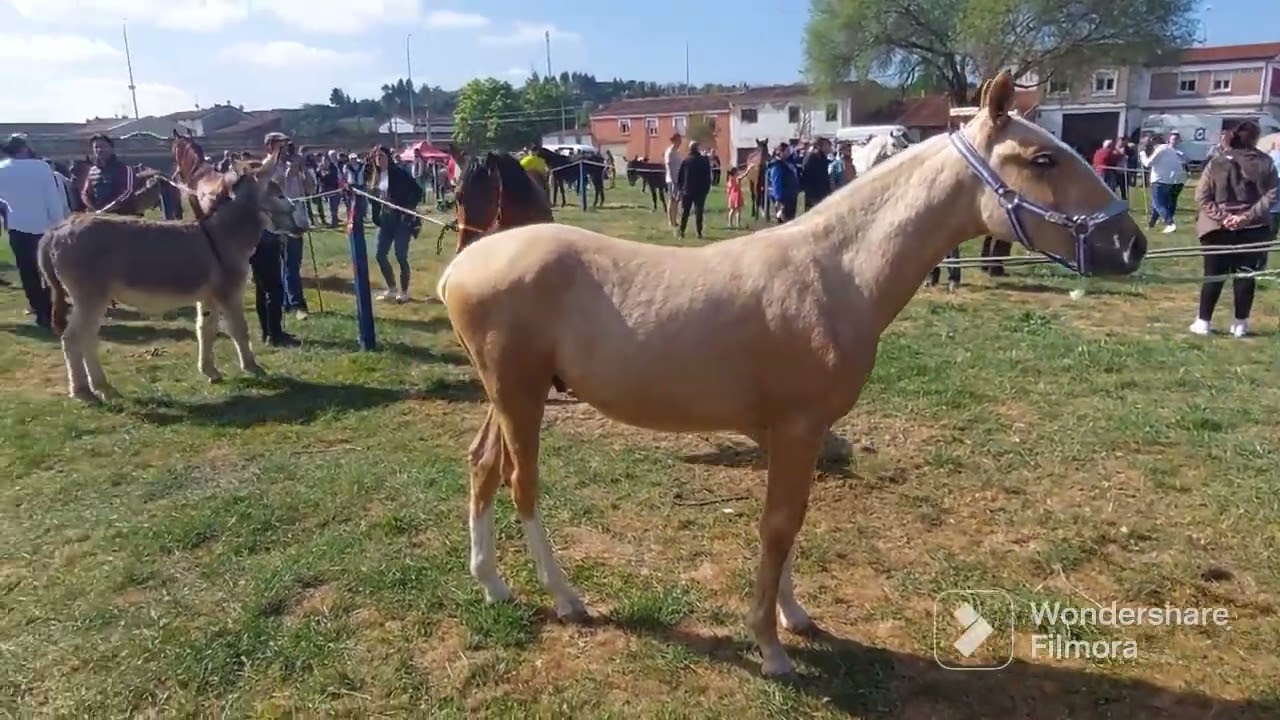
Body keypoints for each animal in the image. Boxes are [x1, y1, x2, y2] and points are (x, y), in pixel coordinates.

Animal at [38, 168, 302, 401]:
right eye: (279, 195)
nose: (302, 225)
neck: (224, 235)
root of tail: (55, 230)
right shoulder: (229, 293)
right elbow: (239, 330)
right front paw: (252, 367)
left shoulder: (208, 296)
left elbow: (205, 330)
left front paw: (210, 371)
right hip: (90, 297)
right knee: (73, 339)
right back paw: (84, 391)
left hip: (94, 299)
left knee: (87, 338)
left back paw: (102, 387)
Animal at [432, 71, 1147, 679]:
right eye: (1043, 159)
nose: (1131, 244)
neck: (837, 270)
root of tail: (464, 264)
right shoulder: (800, 426)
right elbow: (778, 526)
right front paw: (771, 647)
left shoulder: (792, 433)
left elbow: (790, 524)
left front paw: (793, 615)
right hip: (521, 396)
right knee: (521, 483)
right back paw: (566, 598)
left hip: (506, 396)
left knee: (482, 466)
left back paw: (492, 585)